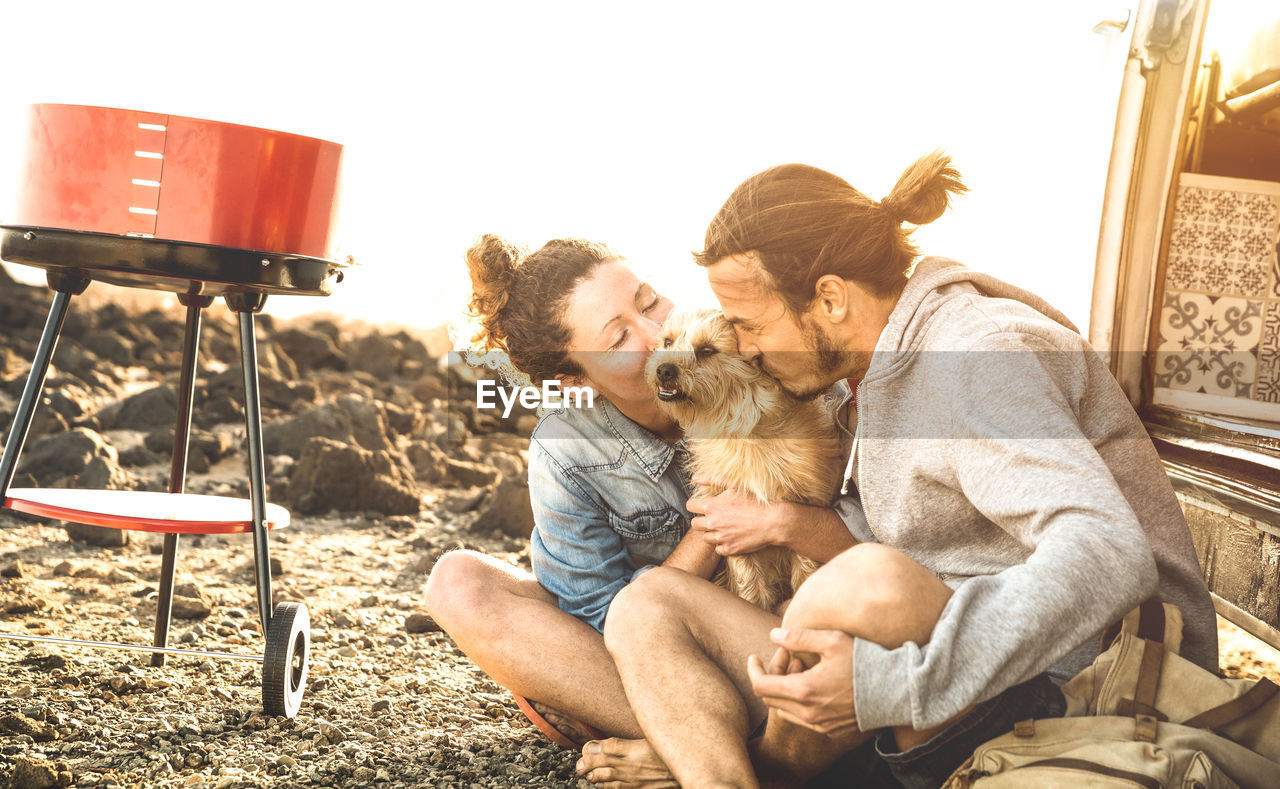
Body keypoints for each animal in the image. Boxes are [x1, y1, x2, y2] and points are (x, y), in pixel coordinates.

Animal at [645, 308, 844, 609]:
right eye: (668, 341)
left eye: (707, 350)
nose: (664, 369)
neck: (745, 431)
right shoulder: (725, 522)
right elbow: (748, 581)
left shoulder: (808, 509)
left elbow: (805, 569)